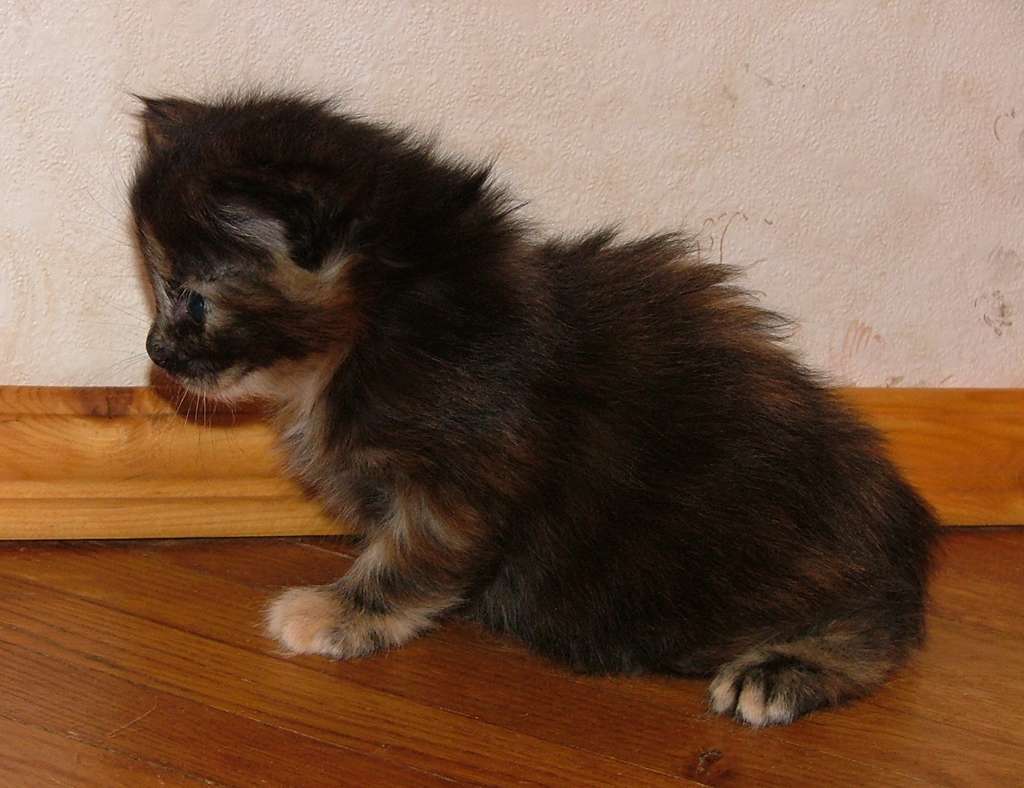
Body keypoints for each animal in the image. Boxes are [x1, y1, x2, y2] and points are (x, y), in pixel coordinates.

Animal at [130, 93, 936, 727]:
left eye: (189, 298)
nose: (154, 349)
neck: (382, 322)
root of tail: (897, 525)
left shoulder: (463, 474)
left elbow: (414, 557)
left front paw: (339, 613)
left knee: (881, 625)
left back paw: (781, 670)